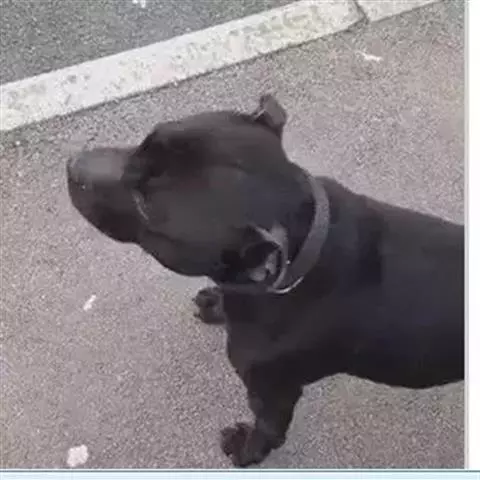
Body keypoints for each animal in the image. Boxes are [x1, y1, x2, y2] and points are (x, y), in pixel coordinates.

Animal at [66, 95, 464, 467]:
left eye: (144, 204)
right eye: (143, 143)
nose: (73, 166)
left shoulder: (272, 391)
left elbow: (269, 430)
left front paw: (246, 449)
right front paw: (216, 303)